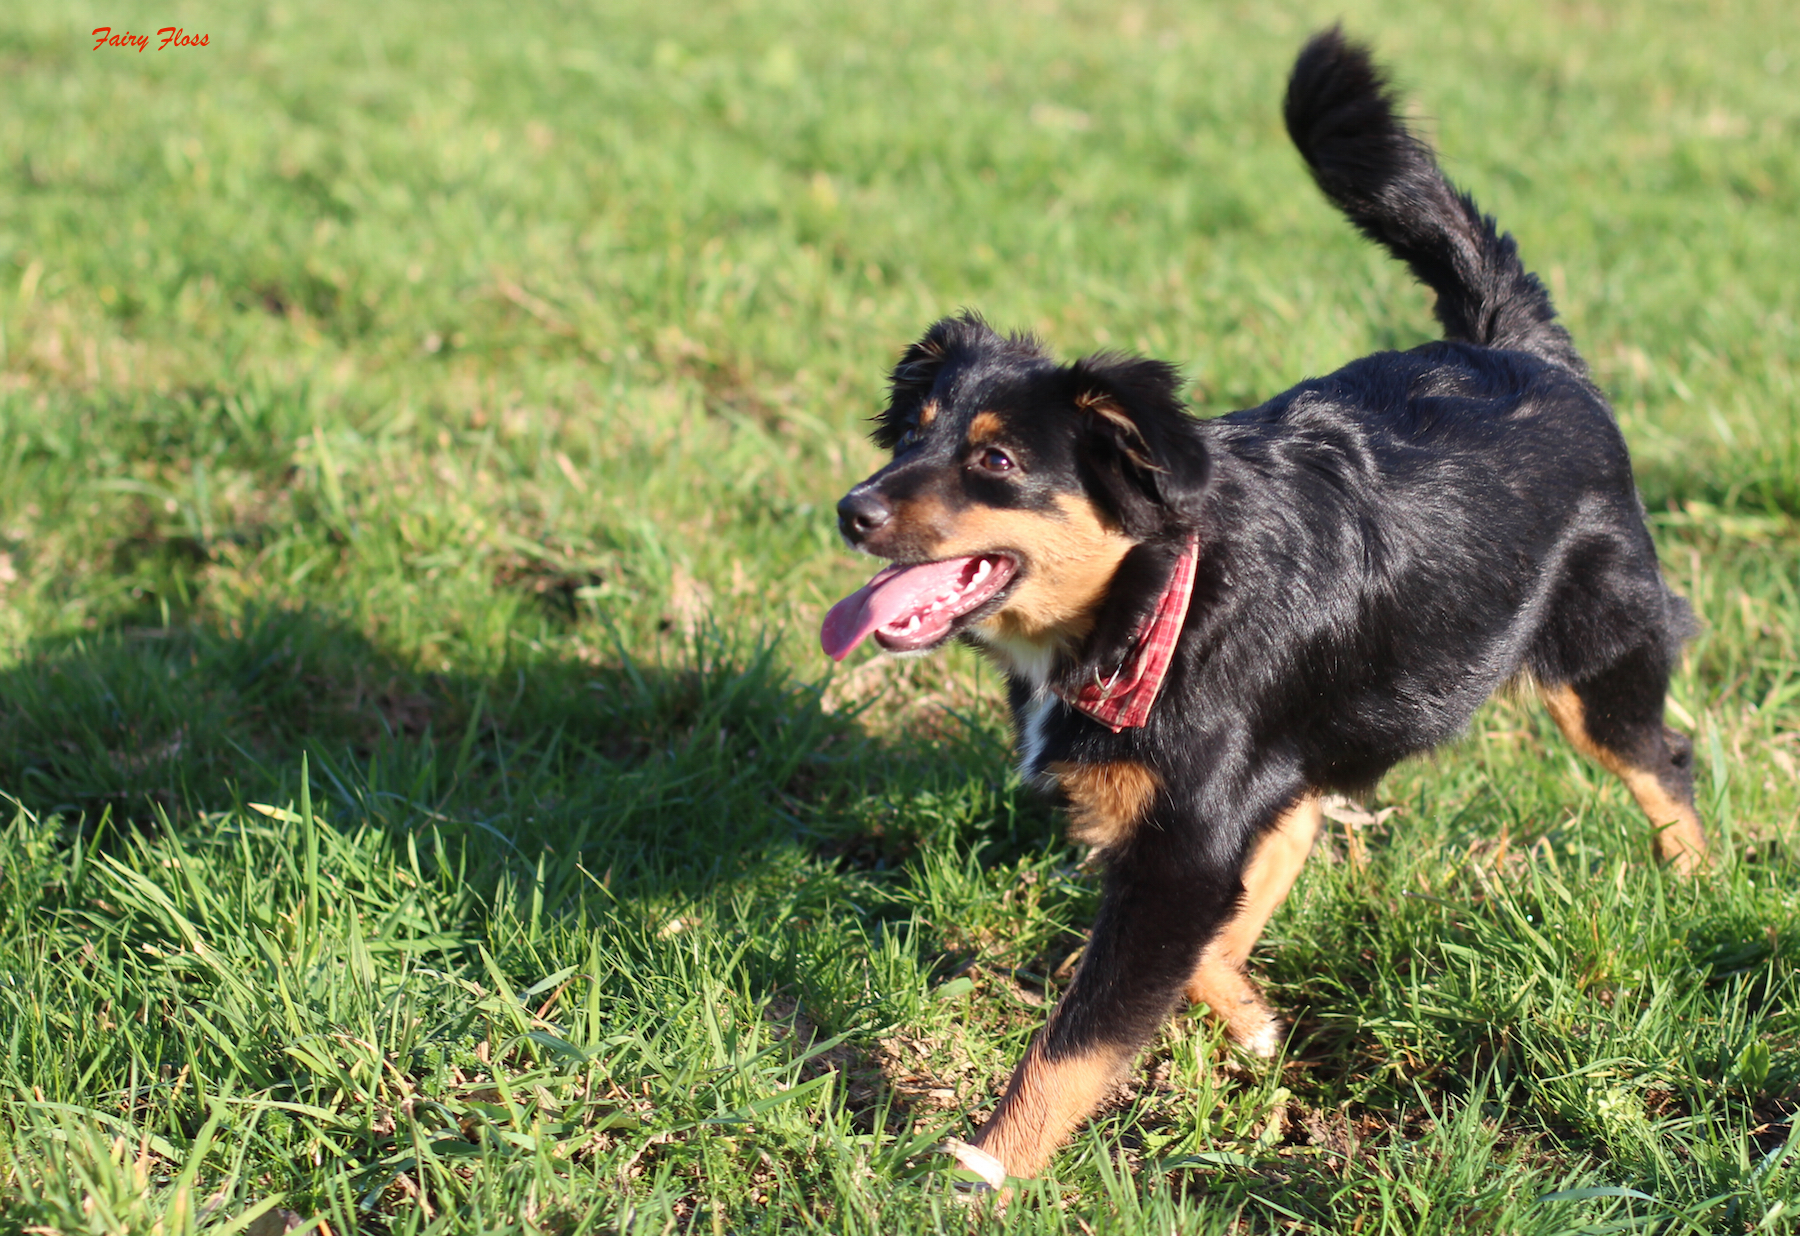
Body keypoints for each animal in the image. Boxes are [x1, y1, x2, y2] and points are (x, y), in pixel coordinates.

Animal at [824, 31, 1706, 1187]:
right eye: (908, 434)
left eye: (997, 460)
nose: (853, 509)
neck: (1160, 592)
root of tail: (1521, 346)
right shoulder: (1176, 814)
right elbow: (1200, 935)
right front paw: (1252, 1023)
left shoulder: (1183, 845)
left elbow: (1075, 1041)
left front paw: (985, 1171)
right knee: (1300, 828)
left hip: (1595, 659)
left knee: (1665, 763)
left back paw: (1693, 885)